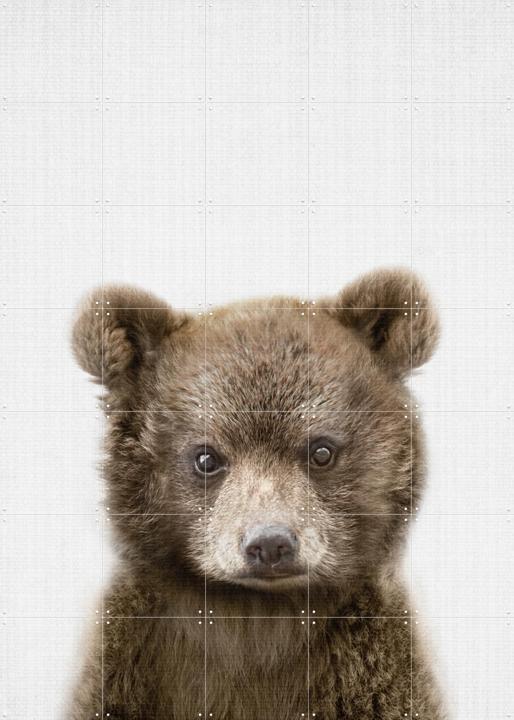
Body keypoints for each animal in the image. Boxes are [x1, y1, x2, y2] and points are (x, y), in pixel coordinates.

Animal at [69, 267, 447, 720]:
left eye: (321, 451)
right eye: (206, 457)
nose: (270, 544)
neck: (255, 618)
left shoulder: (371, 671)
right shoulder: (128, 666)